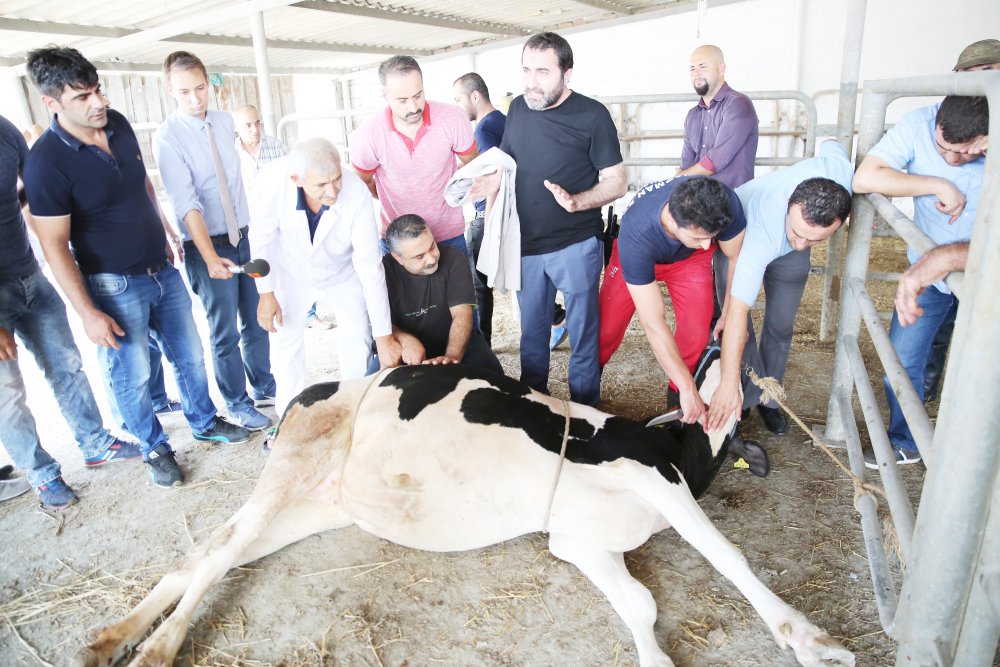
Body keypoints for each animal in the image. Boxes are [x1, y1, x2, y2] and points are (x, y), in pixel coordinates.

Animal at [76, 360, 854, 667]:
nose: (733, 359)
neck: (672, 449)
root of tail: (311, 388)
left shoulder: (577, 541)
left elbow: (638, 603)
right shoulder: (652, 480)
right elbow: (731, 557)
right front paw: (812, 640)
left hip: (310, 506)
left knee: (211, 552)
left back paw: (111, 636)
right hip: (292, 465)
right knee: (214, 554)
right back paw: (155, 648)